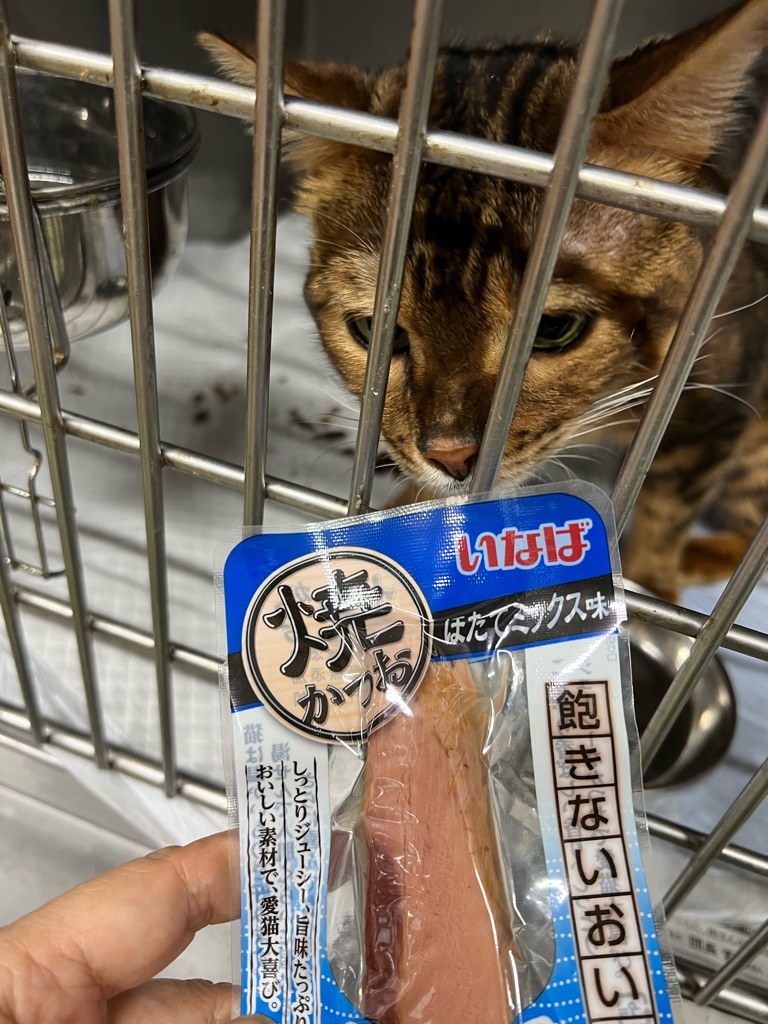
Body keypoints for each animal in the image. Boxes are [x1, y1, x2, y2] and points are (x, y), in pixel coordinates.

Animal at [200, 0, 768, 602]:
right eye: (374, 331)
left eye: (554, 327)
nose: (452, 457)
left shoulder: (716, 402)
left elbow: (665, 514)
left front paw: (649, 588)